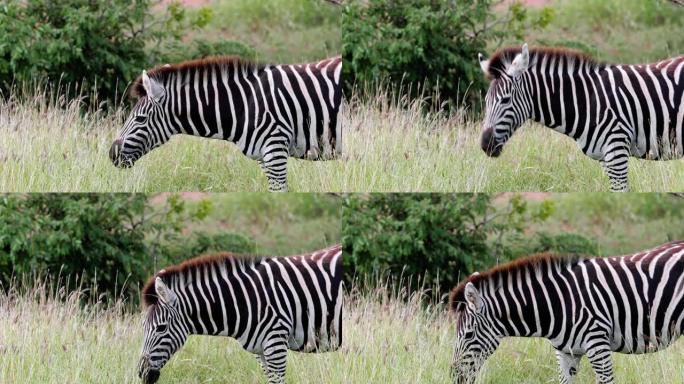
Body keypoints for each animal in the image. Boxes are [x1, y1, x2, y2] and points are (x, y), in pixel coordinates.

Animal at [138, 244, 342, 382]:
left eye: (161, 328)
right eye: (143, 327)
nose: (142, 373)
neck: (245, 300)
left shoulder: (275, 343)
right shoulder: (260, 350)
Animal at [478, 44, 684, 192]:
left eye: (505, 100)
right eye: (486, 101)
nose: (485, 144)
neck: (587, 100)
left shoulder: (616, 150)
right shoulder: (606, 158)